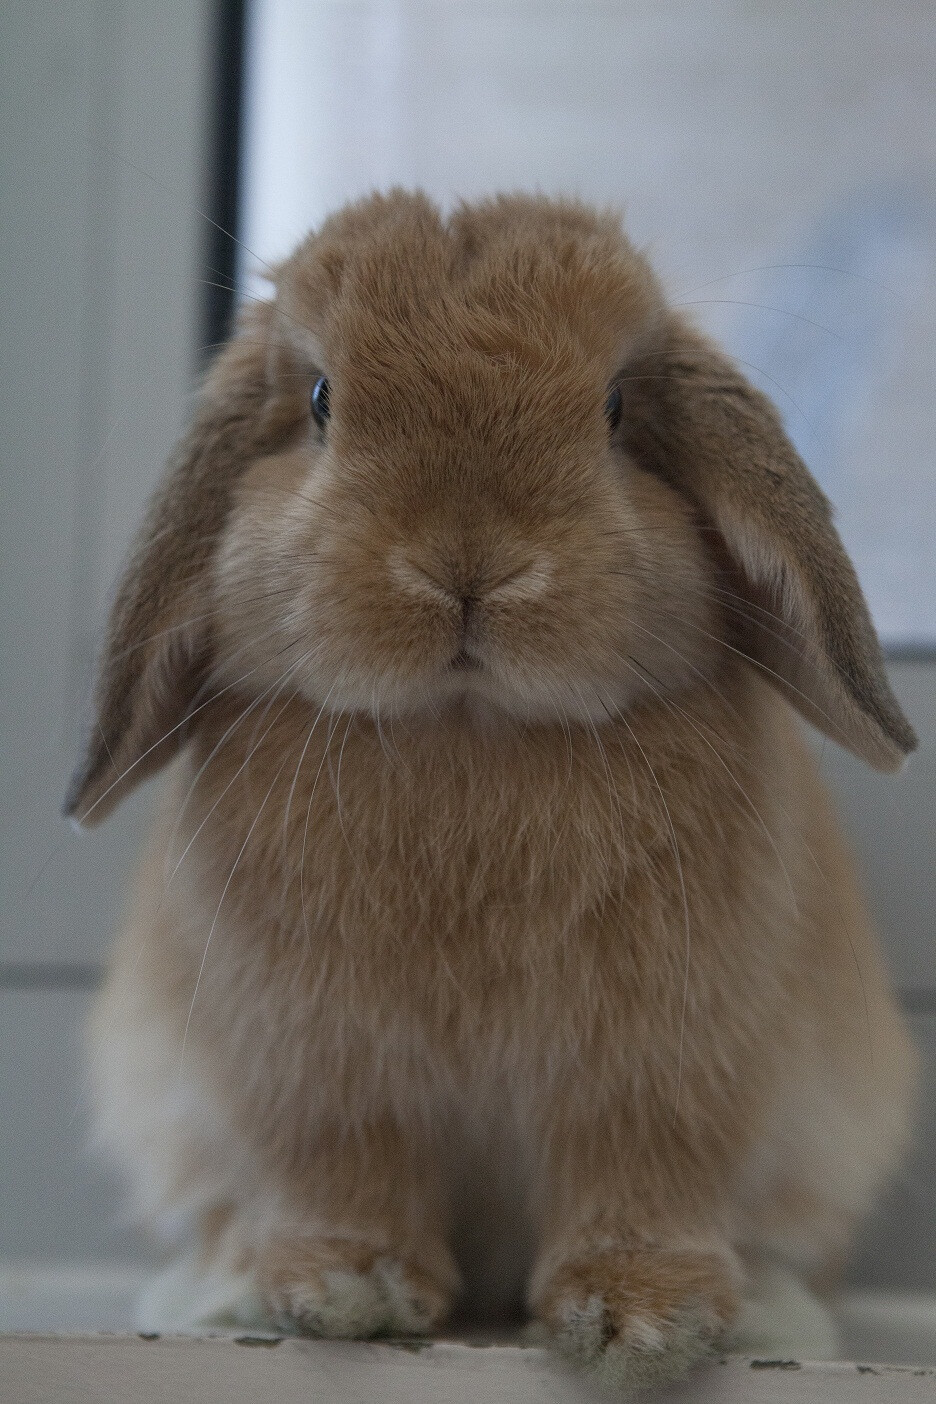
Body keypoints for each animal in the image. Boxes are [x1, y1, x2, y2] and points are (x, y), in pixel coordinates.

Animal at [69, 195, 920, 1392]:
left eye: (614, 409)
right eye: (323, 401)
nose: (469, 566)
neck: (471, 733)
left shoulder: (655, 1079)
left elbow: (642, 1188)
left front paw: (642, 1322)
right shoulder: (322, 1079)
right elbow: (343, 1177)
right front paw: (350, 1290)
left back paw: (766, 1313)